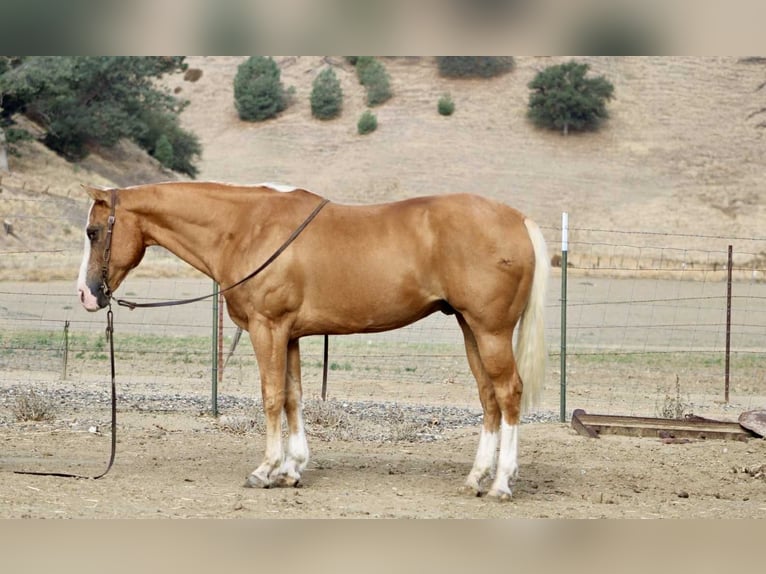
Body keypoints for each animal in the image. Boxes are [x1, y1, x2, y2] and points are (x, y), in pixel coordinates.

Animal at [77, 181, 549, 500]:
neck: (246, 228)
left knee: (508, 393)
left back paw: (501, 483)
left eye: (93, 232)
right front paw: (292, 470)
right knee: (489, 397)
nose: (86, 294)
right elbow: (292, 397)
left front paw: (265, 470)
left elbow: (271, 397)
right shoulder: (288, 334)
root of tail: (517, 220)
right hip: (471, 328)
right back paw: (476, 478)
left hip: (490, 330)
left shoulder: (267, 328)